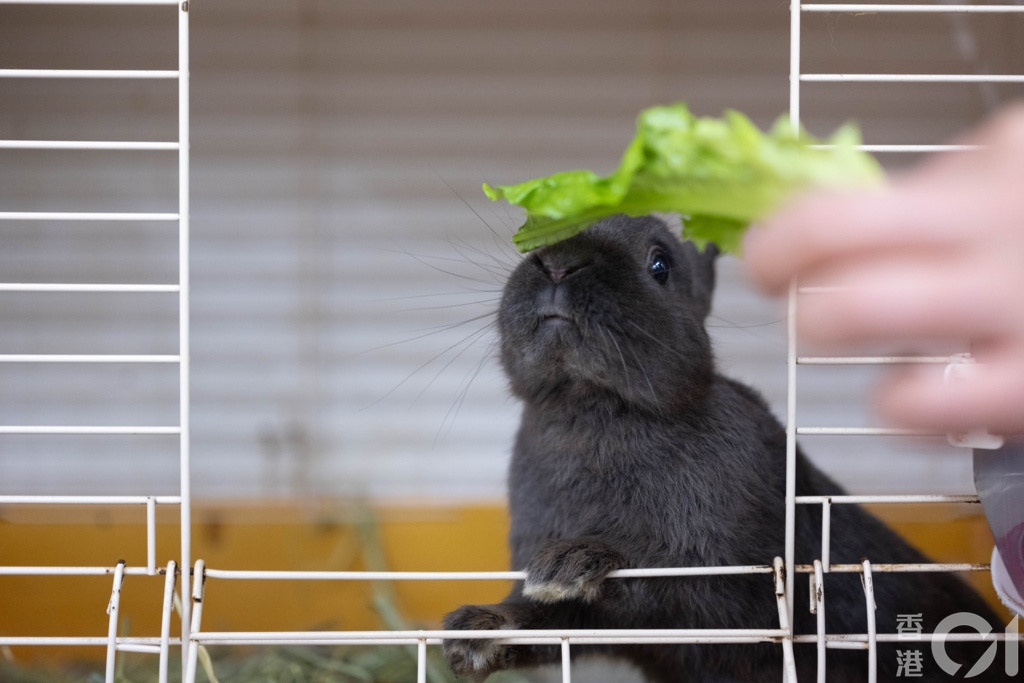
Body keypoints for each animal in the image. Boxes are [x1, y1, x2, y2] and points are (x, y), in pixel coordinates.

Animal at [440, 215, 1015, 683]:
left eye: (660, 264)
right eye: (535, 239)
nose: (559, 265)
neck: (594, 408)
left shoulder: (737, 582)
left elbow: (667, 577)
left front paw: (574, 562)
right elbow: (544, 621)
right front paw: (472, 631)